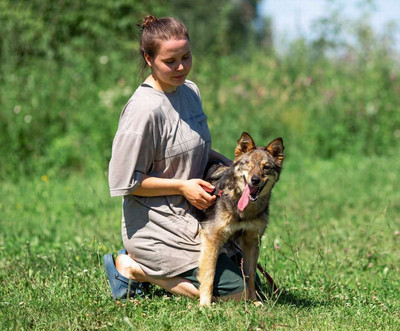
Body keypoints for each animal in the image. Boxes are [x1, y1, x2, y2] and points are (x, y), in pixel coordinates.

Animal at [198, 132, 284, 306]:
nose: (255, 180)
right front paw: (205, 305)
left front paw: (254, 302)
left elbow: (250, 276)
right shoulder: (212, 237)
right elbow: (209, 274)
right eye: (248, 164)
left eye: (266, 167)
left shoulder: (251, 241)